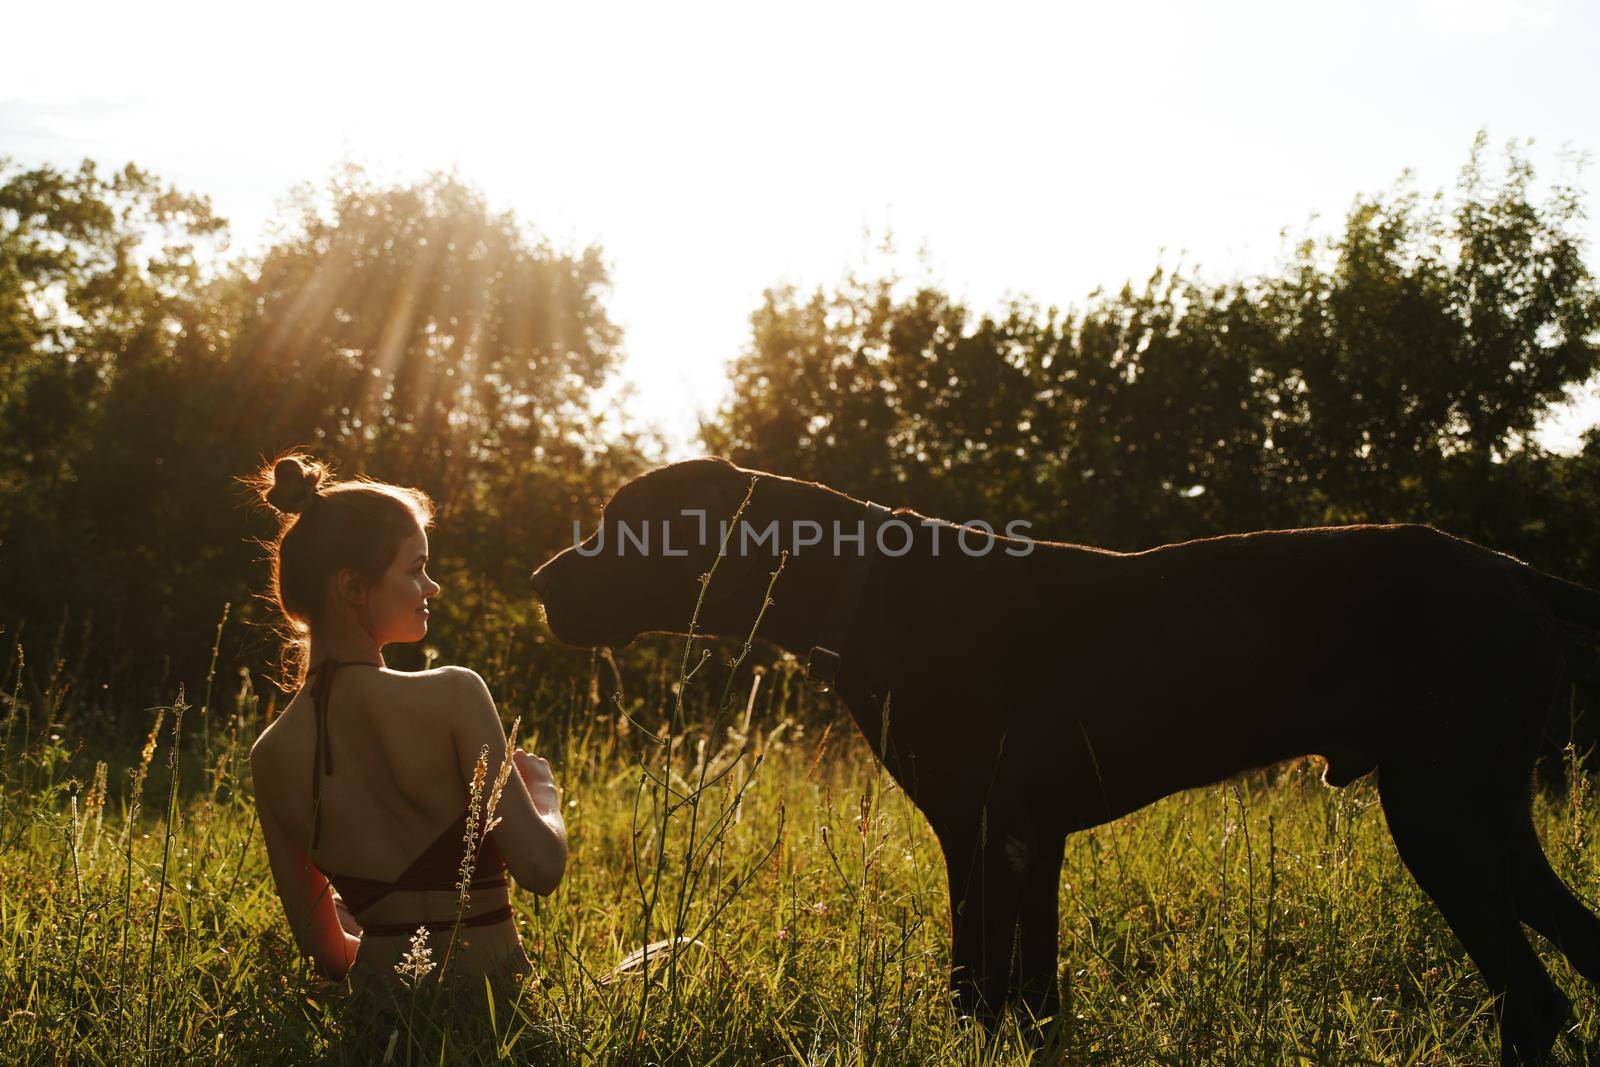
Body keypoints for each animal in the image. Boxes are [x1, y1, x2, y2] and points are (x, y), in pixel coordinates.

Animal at [531, 454, 1600, 1062]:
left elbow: (976, 986)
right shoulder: (1028, 840)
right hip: (1486, 820)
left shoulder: (979, 833)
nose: (538, 580)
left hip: (1440, 817)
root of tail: (1514, 573)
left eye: (627, 524)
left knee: (1534, 999)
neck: (865, 583)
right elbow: (1032, 997)